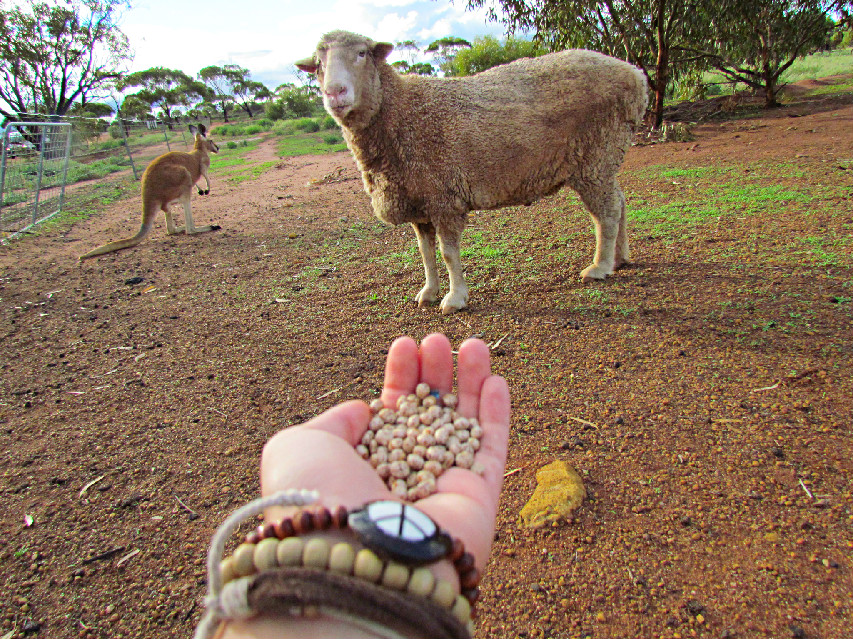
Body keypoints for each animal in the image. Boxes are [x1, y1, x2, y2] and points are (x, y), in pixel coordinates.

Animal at [298, 30, 644, 316]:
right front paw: (429, 291)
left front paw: (455, 298)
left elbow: (448, 254)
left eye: (361, 54)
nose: (335, 93)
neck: (398, 112)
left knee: (606, 213)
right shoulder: (420, 202)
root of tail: (635, 74)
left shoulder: (444, 197)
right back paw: (620, 257)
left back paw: (600, 266)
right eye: (318, 64)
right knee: (620, 201)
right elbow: (425, 253)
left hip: (595, 155)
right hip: (604, 159)